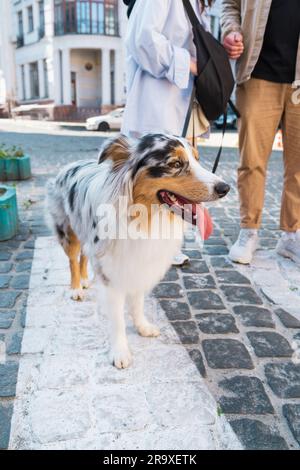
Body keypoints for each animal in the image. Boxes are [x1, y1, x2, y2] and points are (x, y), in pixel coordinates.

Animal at [47, 134, 230, 370]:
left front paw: (142, 327)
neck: (143, 217)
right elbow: (117, 319)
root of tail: (69, 165)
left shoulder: (138, 264)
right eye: (175, 164)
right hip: (68, 230)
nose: (225, 188)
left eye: (197, 159)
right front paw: (120, 352)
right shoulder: (113, 273)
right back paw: (77, 287)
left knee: (84, 256)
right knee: (72, 259)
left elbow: (137, 303)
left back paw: (86, 279)